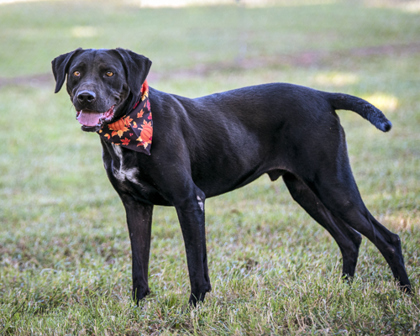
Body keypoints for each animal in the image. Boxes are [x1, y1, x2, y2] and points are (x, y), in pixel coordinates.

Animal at [51, 48, 410, 306]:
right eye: (77, 72)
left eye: (109, 73)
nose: (85, 96)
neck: (130, 128)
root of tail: (322, 96)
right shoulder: (135, 207)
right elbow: (139, 264)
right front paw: (138, 309)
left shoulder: (189, 200)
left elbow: (196, 263)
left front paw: (195, 308)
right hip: (307, 191)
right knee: (351, 239)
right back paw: (344, 289)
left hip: (333, 185)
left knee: (388, 239)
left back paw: (405, 295)